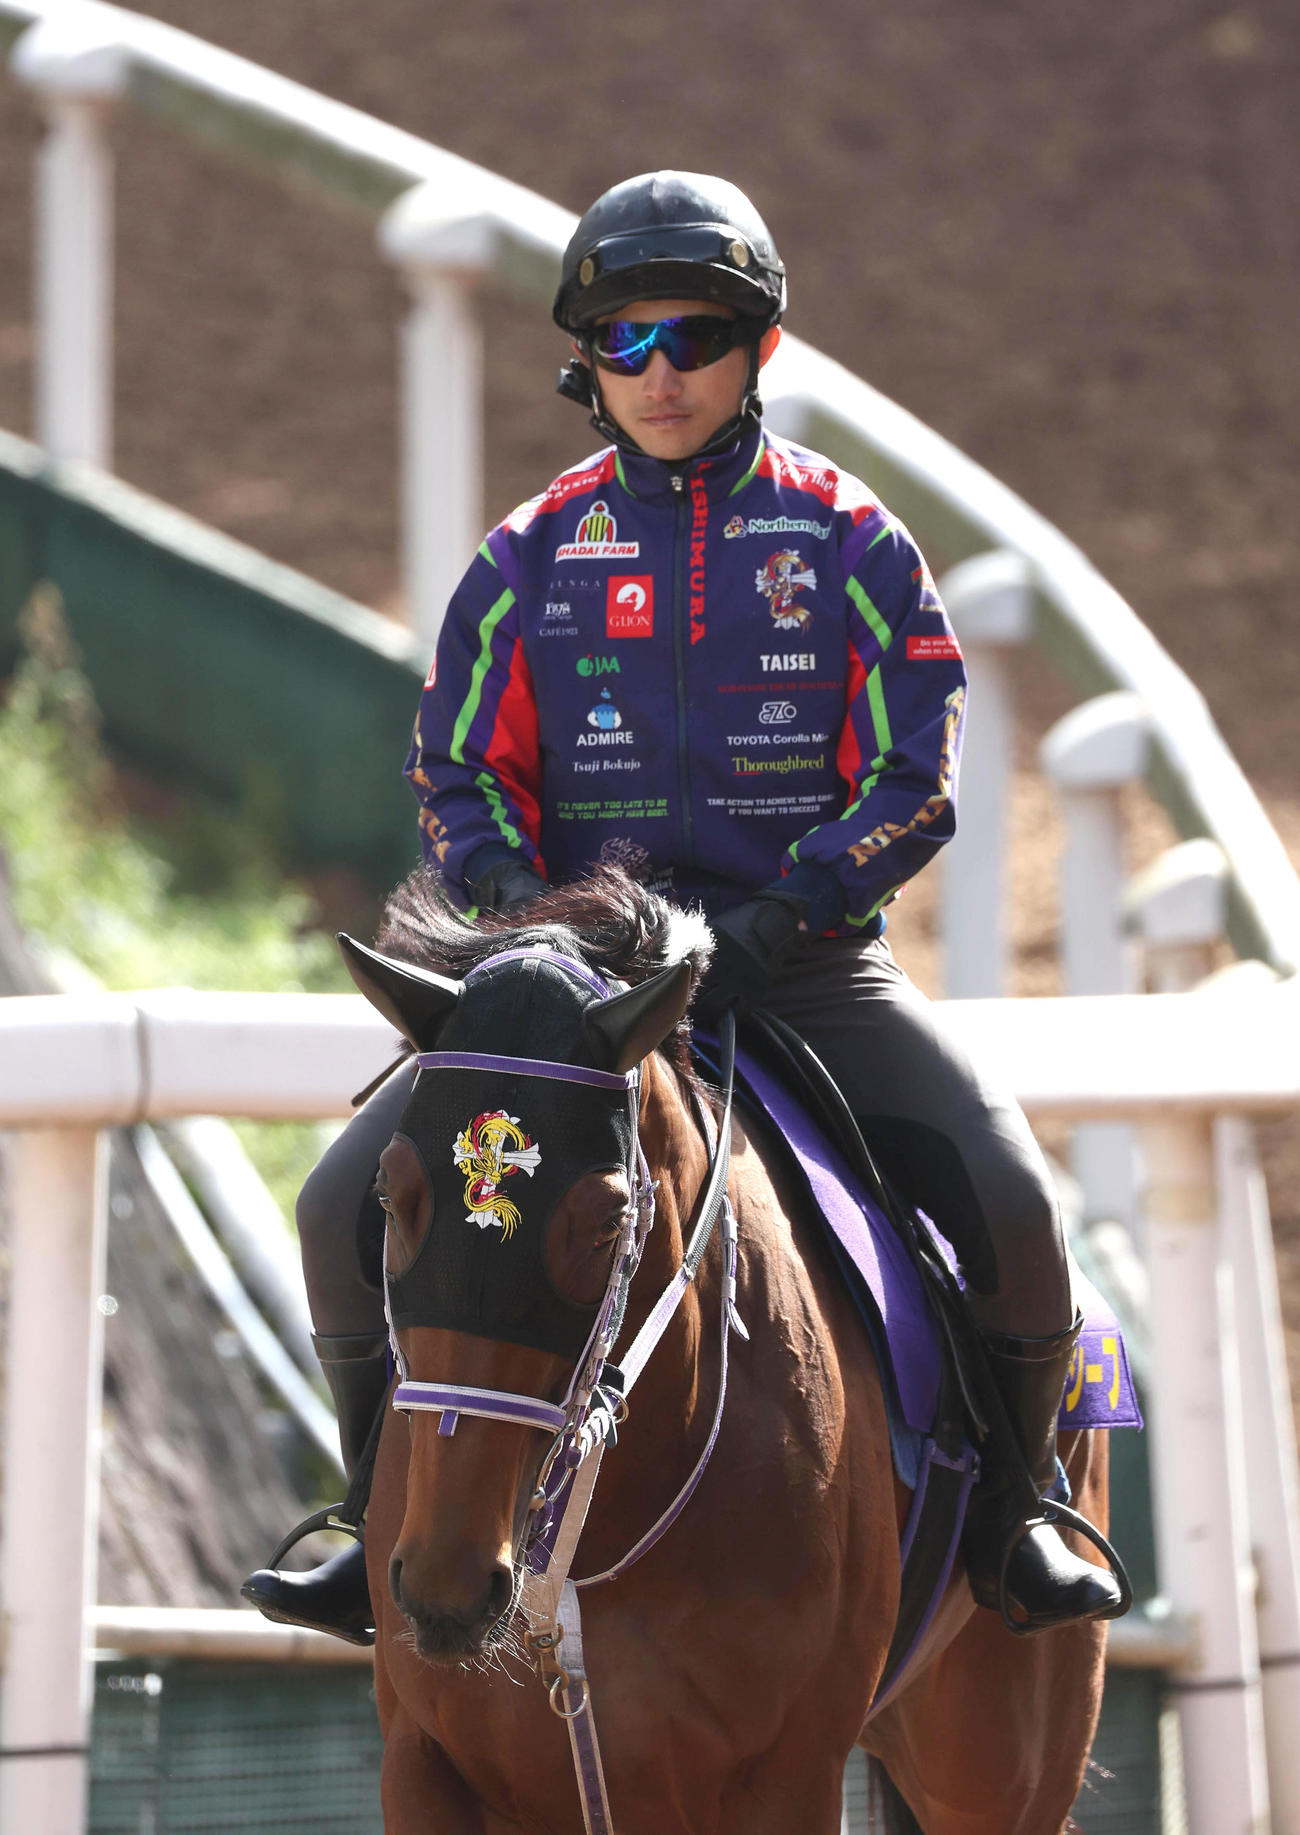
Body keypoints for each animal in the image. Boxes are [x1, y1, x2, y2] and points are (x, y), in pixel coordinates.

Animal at [343, 867, 1112, 1835]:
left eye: (607, 1218)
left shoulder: (788, 1779)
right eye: (388, 1193)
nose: (447, 1580)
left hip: (1001, 1762)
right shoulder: (425, 1763)